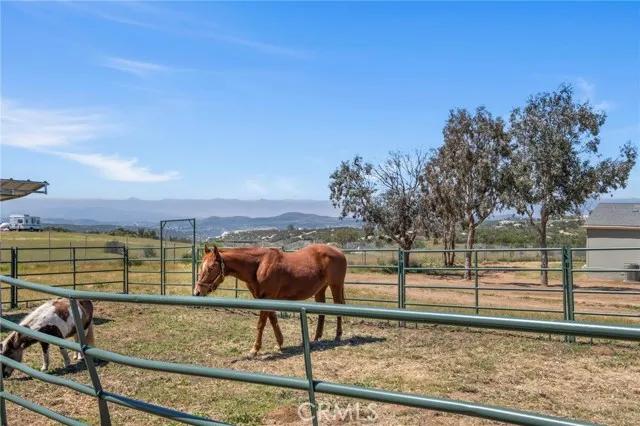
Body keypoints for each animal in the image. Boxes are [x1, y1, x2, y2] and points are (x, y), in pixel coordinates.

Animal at [194, 243, 344, 356]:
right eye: (201, 266)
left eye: (211, 268)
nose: (197, 292)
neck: (259, 264)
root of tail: (339, 251)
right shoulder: (265, 298)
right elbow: (273, 320)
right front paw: (280, 343)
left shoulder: (267, 297)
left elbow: (261, 324)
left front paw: (254, 349)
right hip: (321, 289)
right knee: (322, 311)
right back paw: (317, 338)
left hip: (335, 285)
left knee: (339, 305)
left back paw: (338, 336)